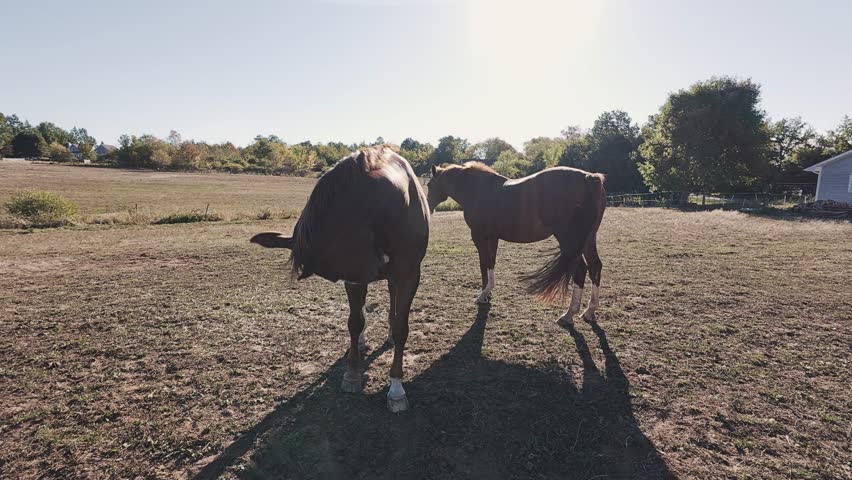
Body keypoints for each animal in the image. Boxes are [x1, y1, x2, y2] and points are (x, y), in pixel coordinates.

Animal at [251, 145, 429, 412]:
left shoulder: (407, 274)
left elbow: (400, 328)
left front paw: (396, 388)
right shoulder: (354, 274)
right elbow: (355, 323)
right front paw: (352, 374)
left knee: (392, 298)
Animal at [426, 162, 605, 327]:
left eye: (428, 185)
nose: (427, 206)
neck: (476, 189)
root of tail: (589, 177)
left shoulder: (479, 236)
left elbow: (484, 264)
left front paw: (483, 296)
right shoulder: (492, 238)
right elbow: (490, 263)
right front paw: (488, 293)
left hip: (569, 240)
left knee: (580, 269)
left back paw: (568, 315)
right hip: (588, 239)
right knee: (595, 266)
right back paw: (589, 312)